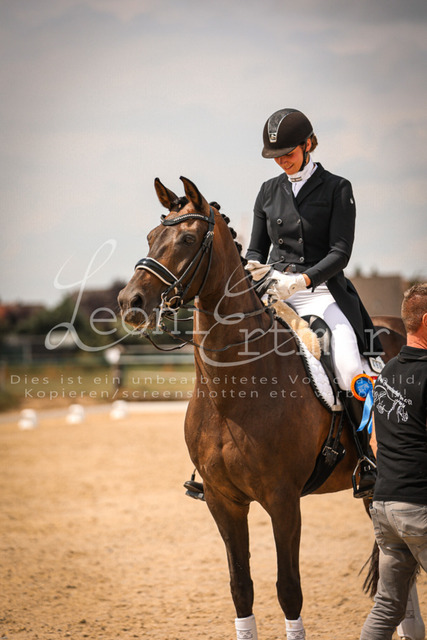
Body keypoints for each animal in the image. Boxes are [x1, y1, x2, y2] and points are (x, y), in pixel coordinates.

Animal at [118, 176, 416, 639]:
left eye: (187, 239)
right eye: (151, 237)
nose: (130, 303)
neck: (233, 392)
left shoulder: (283, 500)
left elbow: (288, 589)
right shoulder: (223, 501)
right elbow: (241, 586)